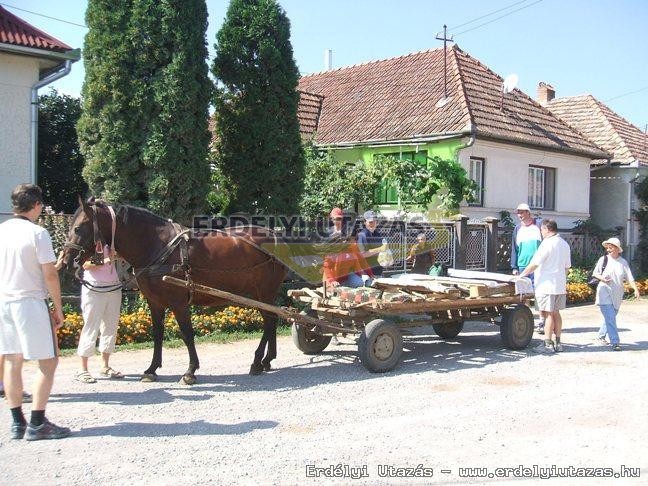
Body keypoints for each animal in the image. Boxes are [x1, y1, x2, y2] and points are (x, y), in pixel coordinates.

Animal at [58, 197, 286, 384]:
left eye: (78, 228)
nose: (66, 261)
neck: (158, 248)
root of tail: (275, 236)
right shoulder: (155, 302)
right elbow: (157, 333)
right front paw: (151, 369)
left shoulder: (179, 303)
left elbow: (187, 334)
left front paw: (190, 371)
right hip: (258, 293)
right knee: (272, 319)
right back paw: (266, 360)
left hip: (263, 292)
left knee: (269, 320)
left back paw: (257, 361)